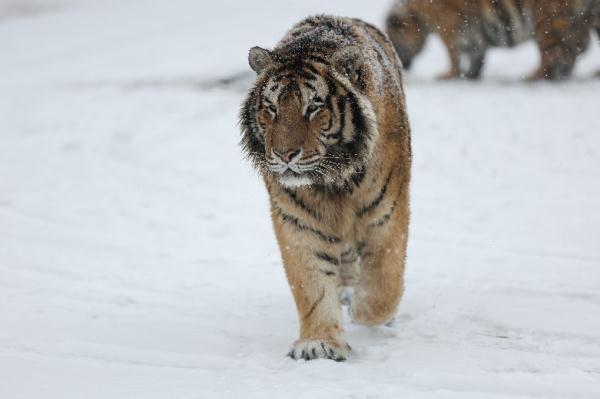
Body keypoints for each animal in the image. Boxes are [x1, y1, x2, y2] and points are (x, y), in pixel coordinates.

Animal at [239, 15, 412, 362]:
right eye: (272, 109)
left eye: (313, 108)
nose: (284, 155)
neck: (333, 183)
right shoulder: (299, 220)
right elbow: (312, 284)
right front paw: (319, 344)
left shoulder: (387, 212)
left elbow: (384, 281)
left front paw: (364, 310)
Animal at [384, 0, 600, 80]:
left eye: (393, 41)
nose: (402, 65)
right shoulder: (474, 36)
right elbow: (476, 55)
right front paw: (471, 75)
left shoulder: (449, 27)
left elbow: (454, 55)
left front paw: (448, 75)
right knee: (573, 50)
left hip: (546, 21)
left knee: (553, 54)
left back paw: (533, 77)